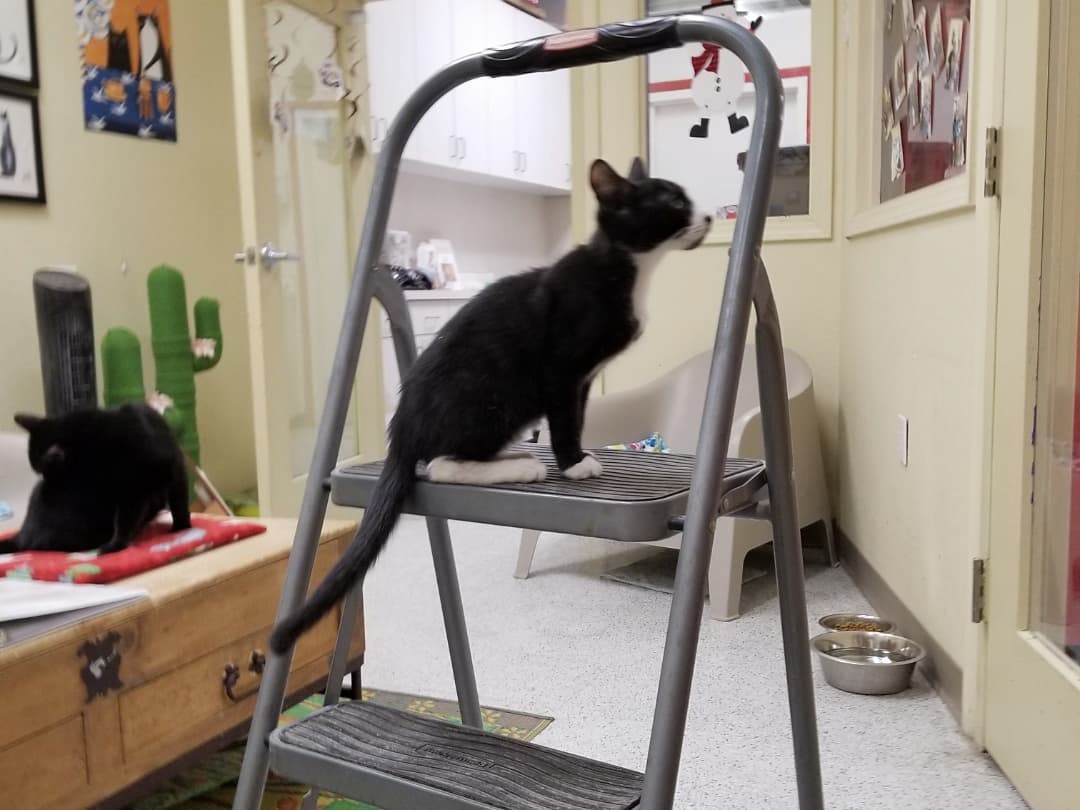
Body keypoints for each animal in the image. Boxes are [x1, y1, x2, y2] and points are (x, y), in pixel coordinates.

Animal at [0, 406, 190, 557]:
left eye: (42, 471)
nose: (46, 482)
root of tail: (21, 536)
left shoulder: (147, 483)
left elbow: (178, 505)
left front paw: (182, 529)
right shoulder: (134, 492)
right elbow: (126, 521)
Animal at [270, 156, 712, 652]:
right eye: (674, 201)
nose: (710, 216)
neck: (626, 267)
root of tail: (401, 432)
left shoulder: (581, 381)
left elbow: (577, 417)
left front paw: (576, 455)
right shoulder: (560, 369)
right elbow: (564, 420)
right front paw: (573, 464)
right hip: (493, 398)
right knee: (441, 464)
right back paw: (521, 467)